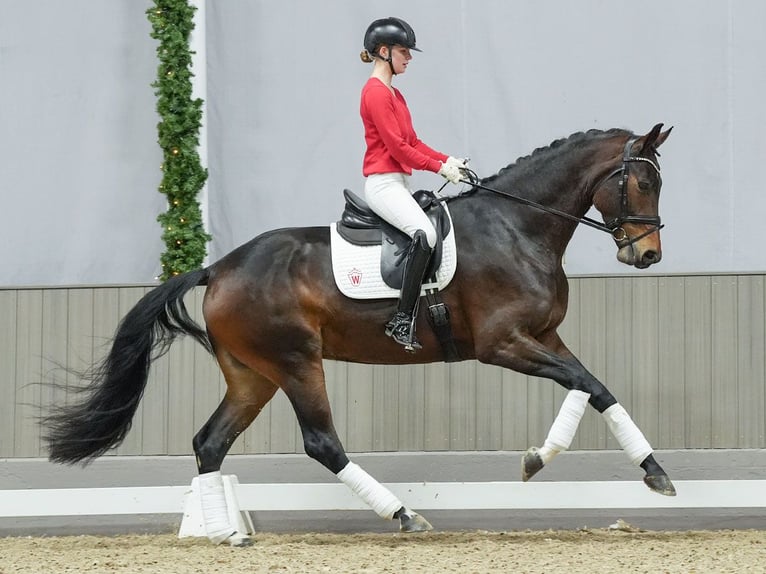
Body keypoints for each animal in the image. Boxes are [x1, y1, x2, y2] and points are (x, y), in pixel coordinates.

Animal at [45, 124, 676, 548]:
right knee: (321, 442)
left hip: (252, 375)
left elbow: (594, 386)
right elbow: (585, 384)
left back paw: (226, 534)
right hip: (297, 364)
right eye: (642, 181)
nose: (646, 255)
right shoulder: (503, 344)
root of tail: (220, 267)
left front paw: (640, 470)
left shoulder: (544, 335)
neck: (517, 227)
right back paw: (402, 515)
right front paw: (554, 462)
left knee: (210, 442)